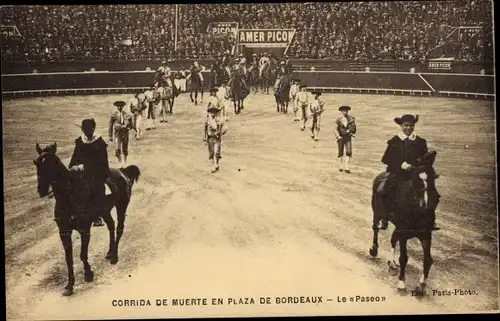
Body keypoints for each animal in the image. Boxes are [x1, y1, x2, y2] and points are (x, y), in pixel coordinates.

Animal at [33, 142, 140, 296]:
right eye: (36, 163)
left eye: (50, 163)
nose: (41, 189)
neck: (69, 195)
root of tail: (123, 171)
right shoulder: (64, 231)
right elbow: (68, 258)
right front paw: (69, 285)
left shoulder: (84, 230)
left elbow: (82, 254)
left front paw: (88, 274)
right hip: (105, 211)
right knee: (111, 225)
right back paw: (109, 252)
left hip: (121, 206)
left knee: (119, 228)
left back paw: (114, 256)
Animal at [370, 150, 440, 292]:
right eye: (416, 180)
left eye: (432, 179)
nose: (426, 206)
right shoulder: (403, 233)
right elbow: (403, 258)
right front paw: (401, 282)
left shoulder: (426, 235)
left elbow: (428, 260)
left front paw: (421, 285)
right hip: (377, 213)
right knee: (375, 229)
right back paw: (374, 249)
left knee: (392, 240)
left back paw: (392, 263)